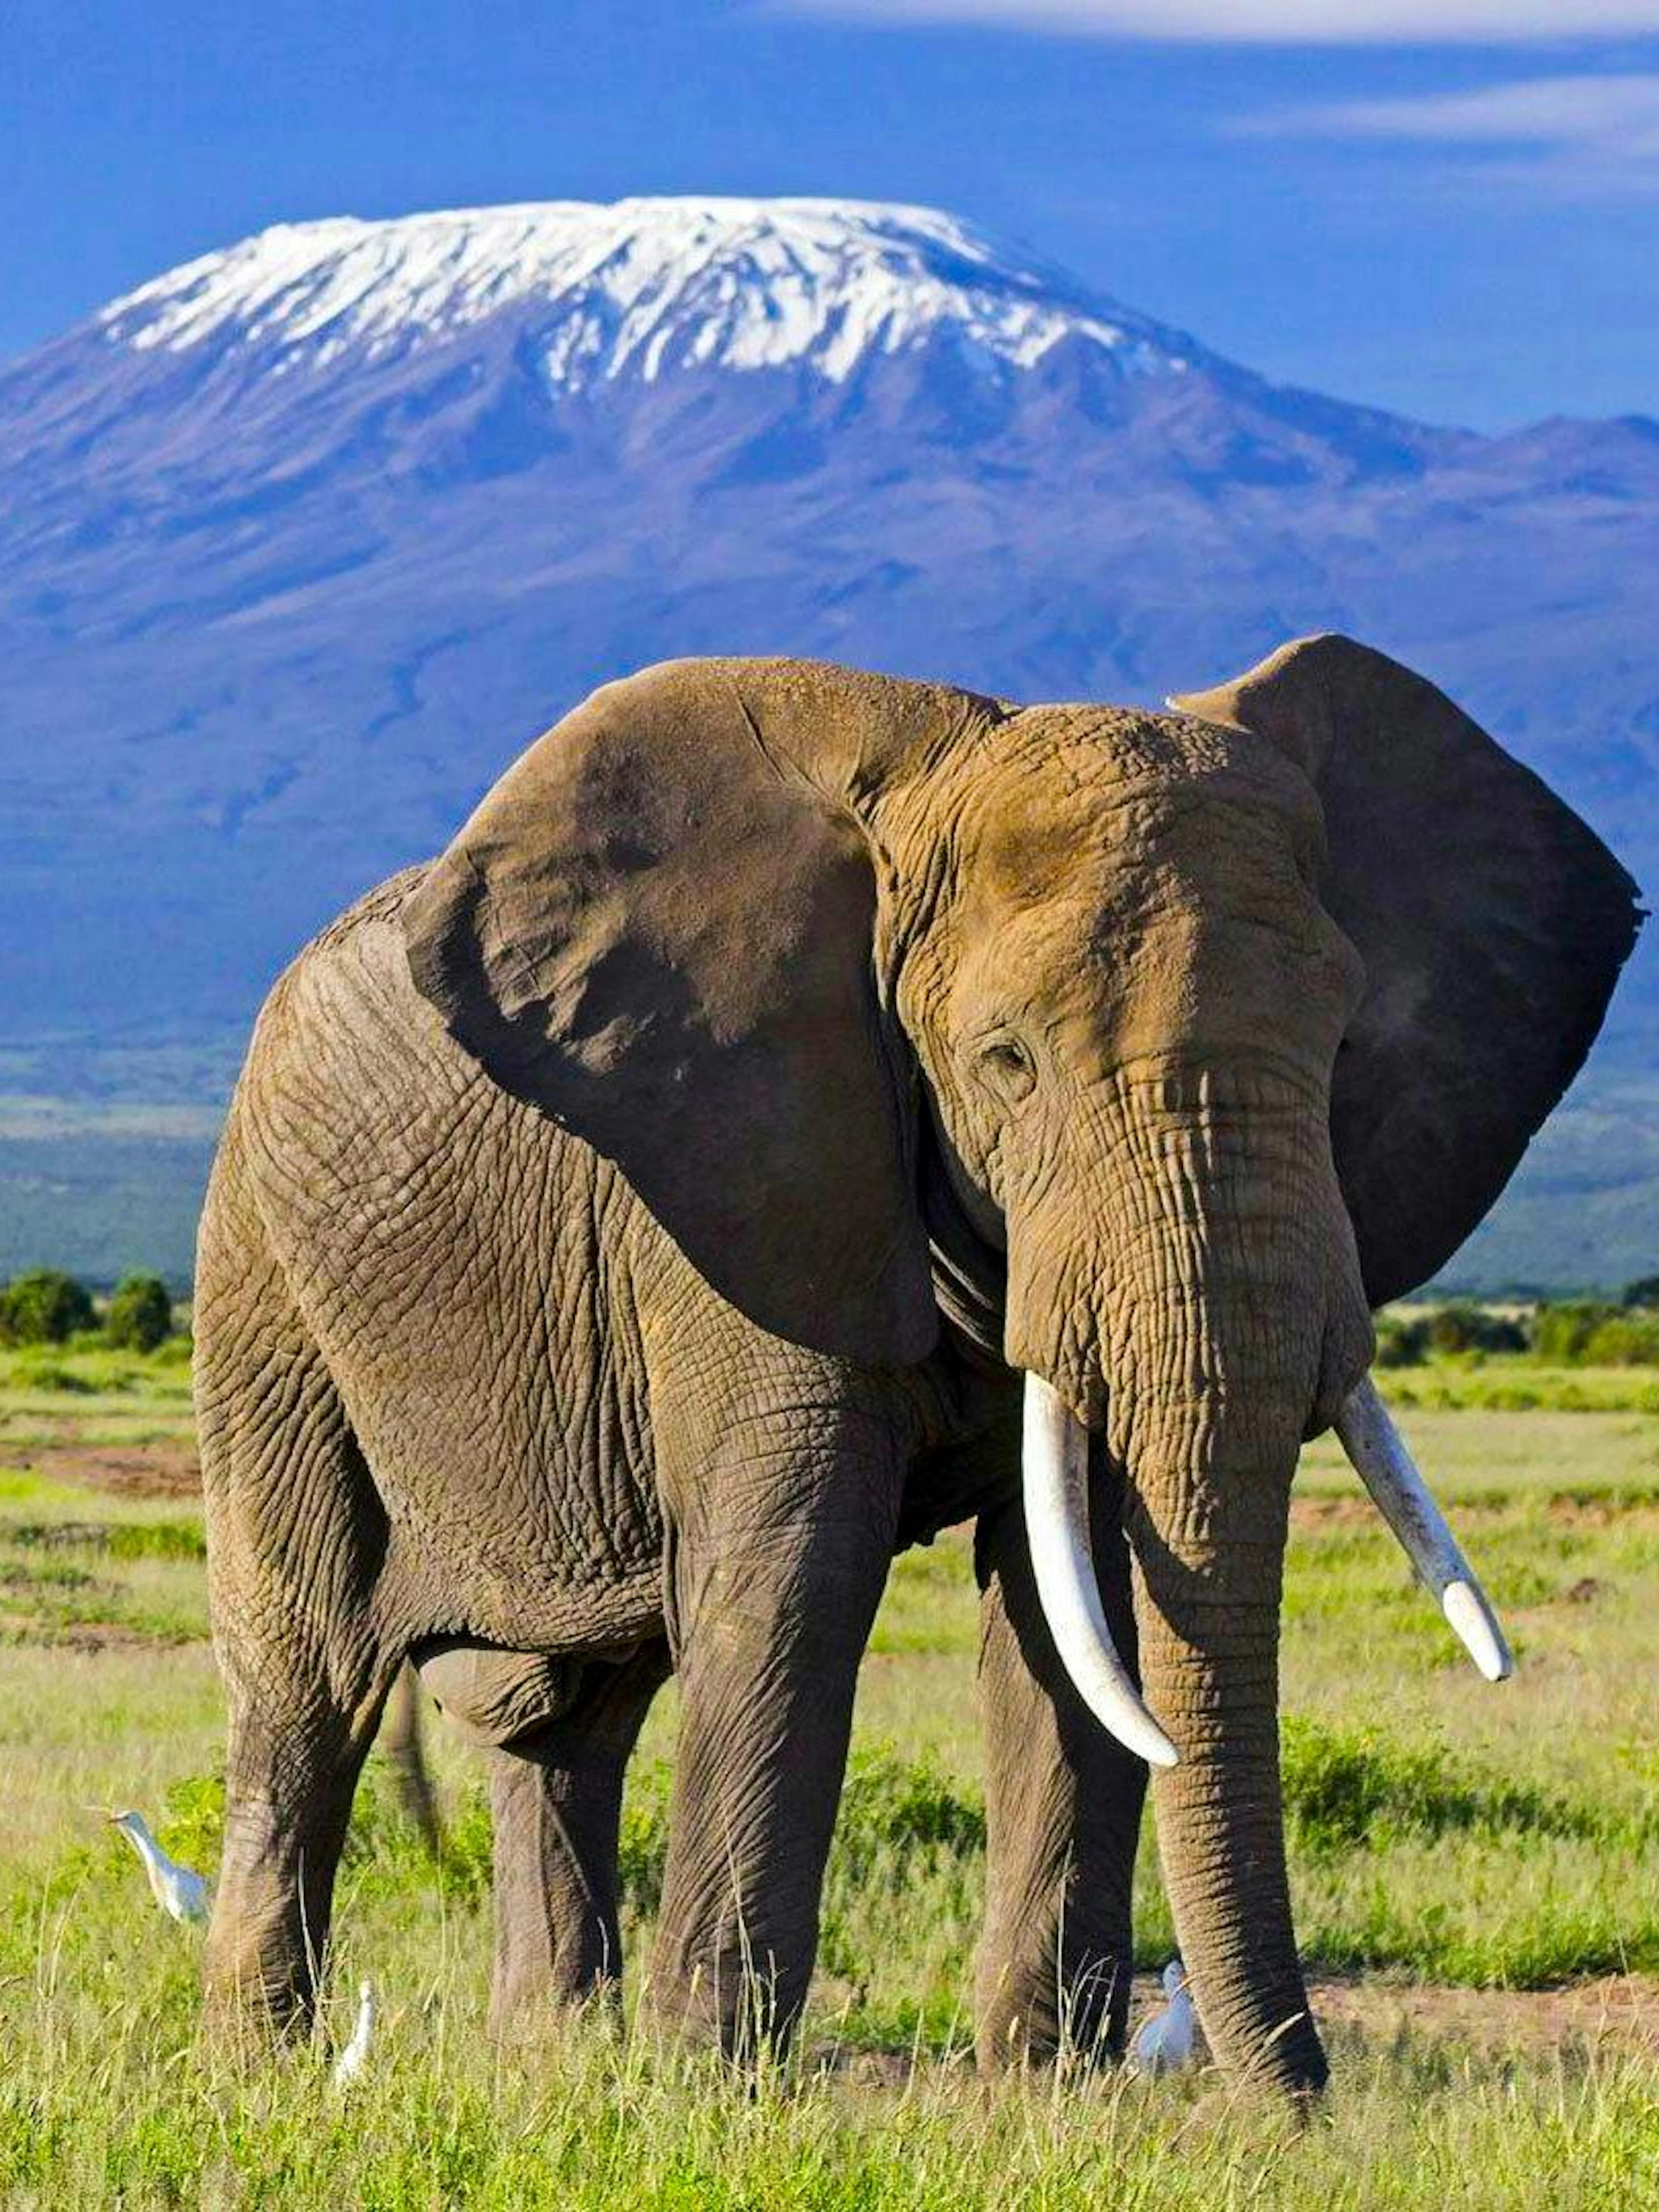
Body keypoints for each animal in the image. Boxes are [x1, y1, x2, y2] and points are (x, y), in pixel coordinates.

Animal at [193, 634, 1639, 2095]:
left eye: (1343, 1049)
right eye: (1006, 1061)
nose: (1301, 2110)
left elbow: (1079, 1592)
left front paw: (1046, 2093)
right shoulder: (744, 1177)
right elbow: (796, 1577)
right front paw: (715, 2092)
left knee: (571, 1712)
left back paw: (554, 2062)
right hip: (261, 1275)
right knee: (308, 1674)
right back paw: (266, 2069)